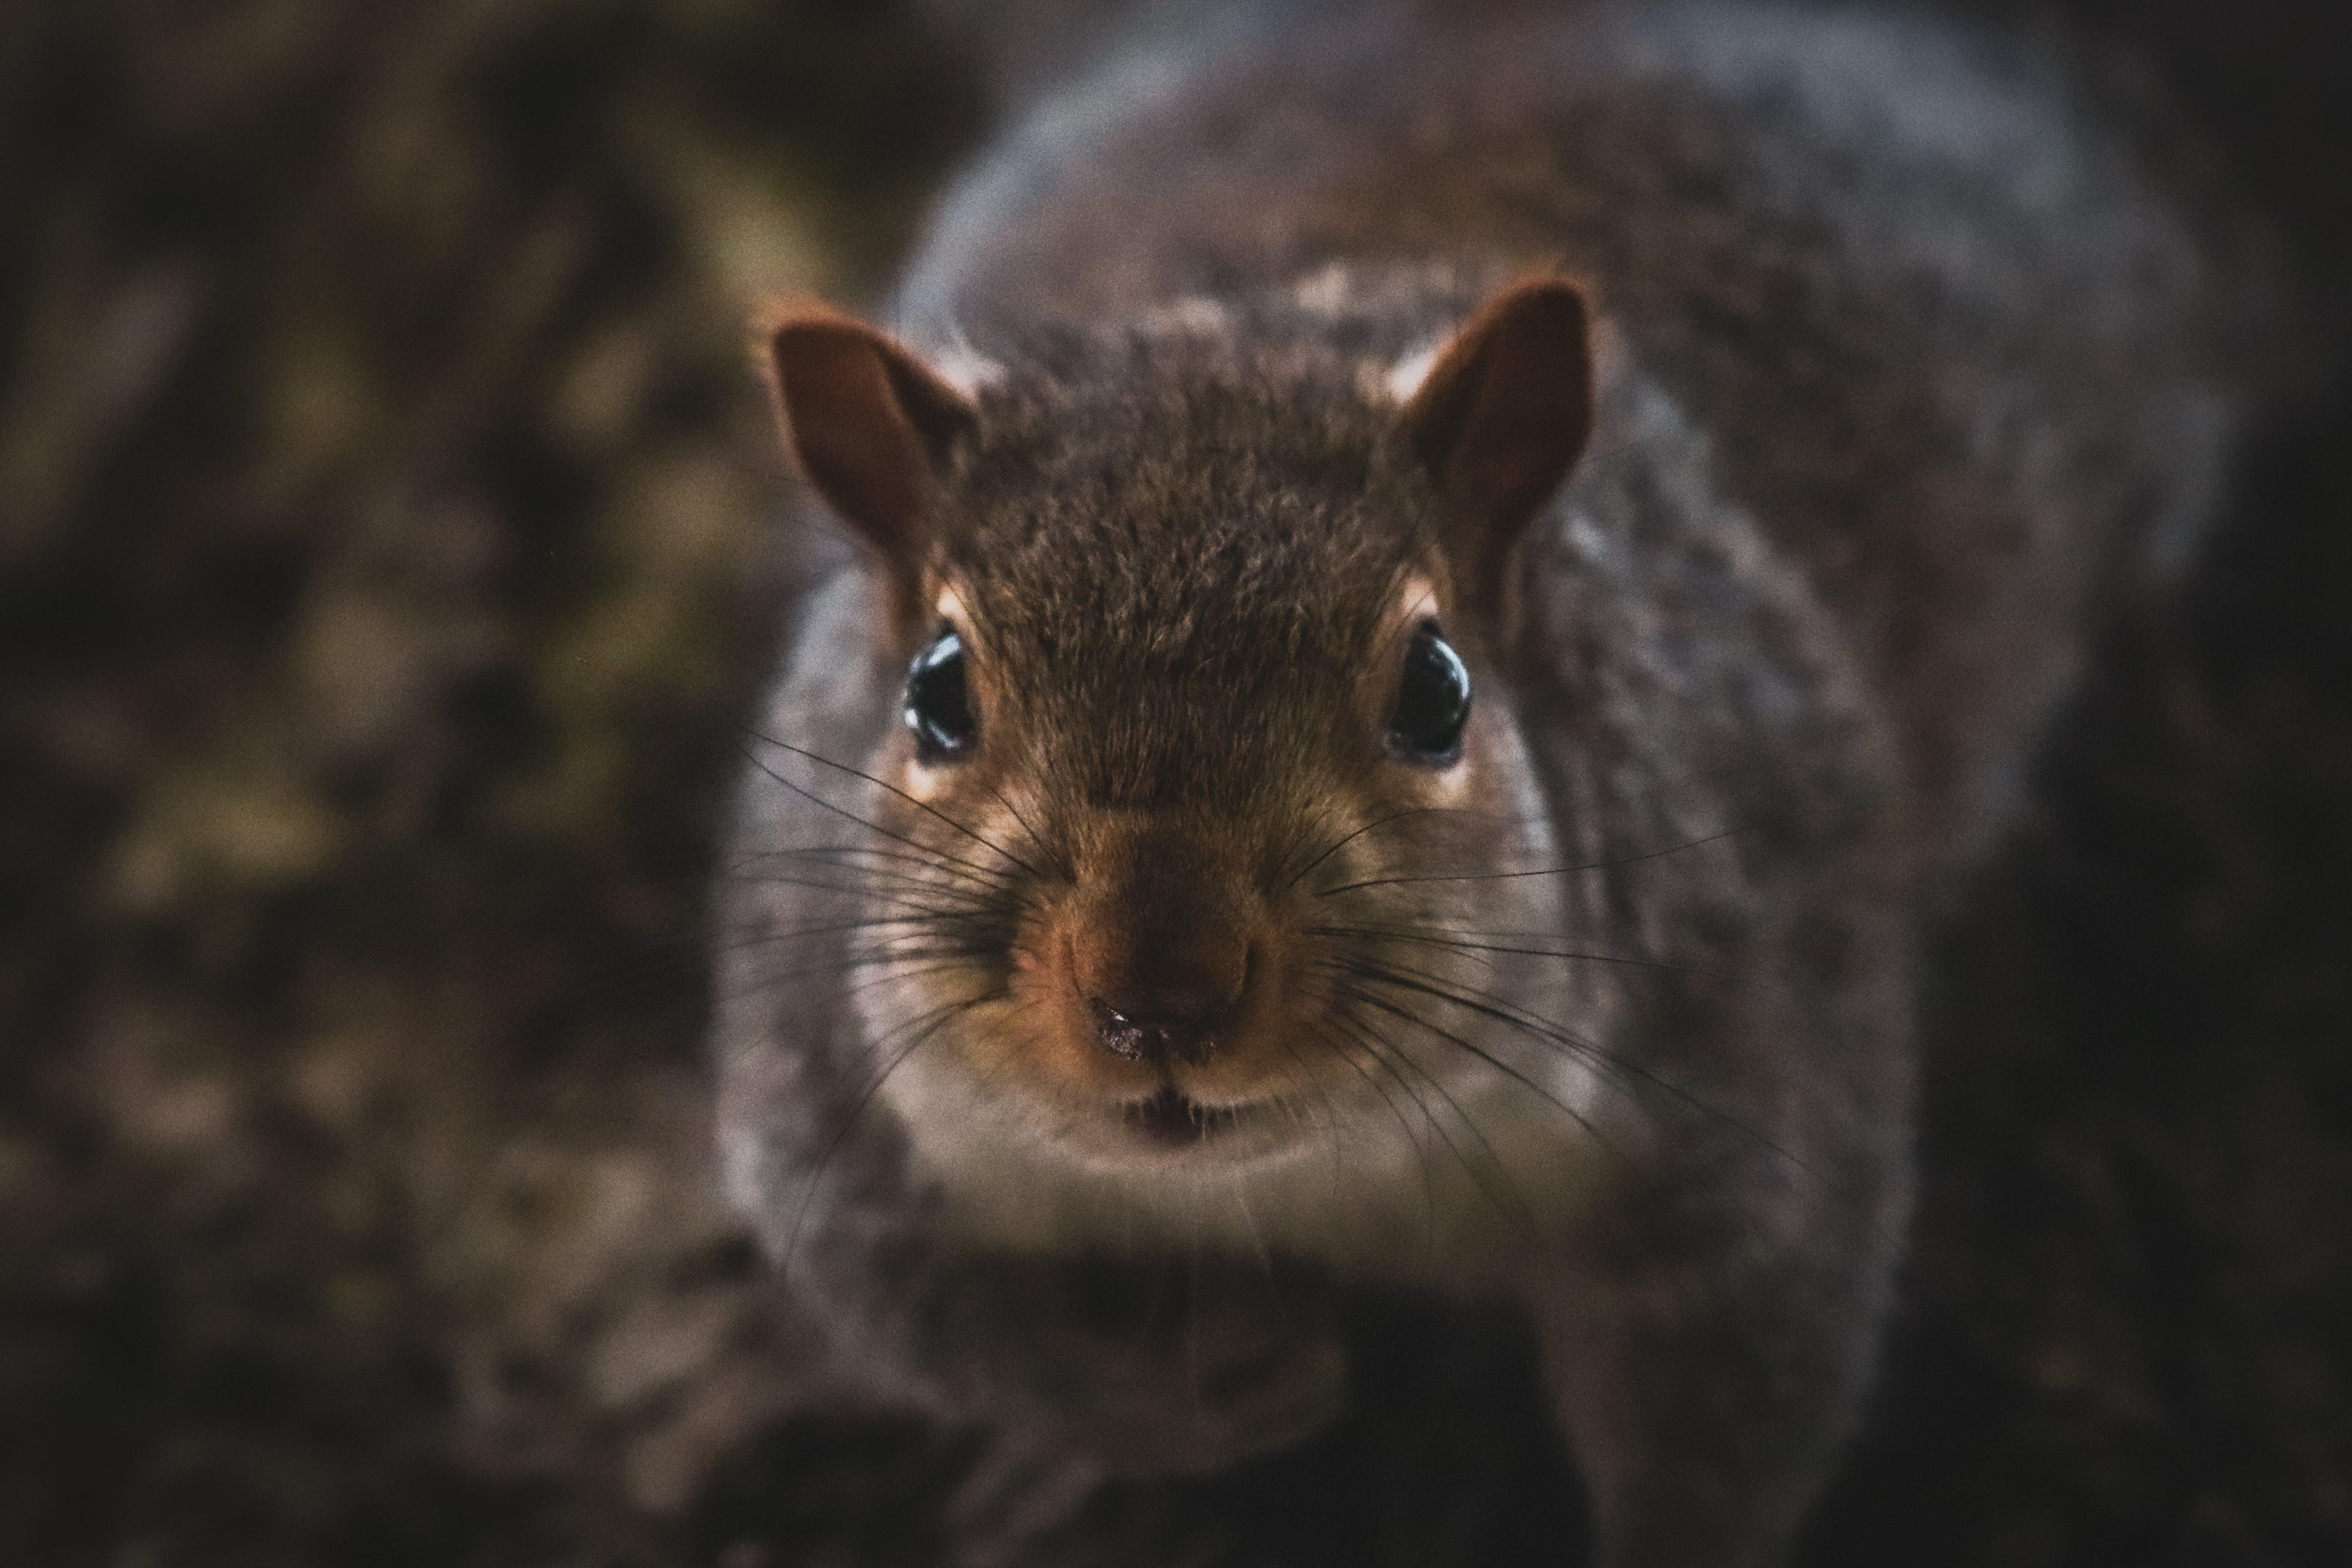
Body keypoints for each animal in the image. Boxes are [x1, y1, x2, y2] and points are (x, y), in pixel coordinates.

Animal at [712, 3, 2288, 1563]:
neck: (1311, 1175)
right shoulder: (823, 1072)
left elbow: (1741, 1384)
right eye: (934, 694)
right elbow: (924, 1306)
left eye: (1435, 691)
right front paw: (1186, 1394)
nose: (1156, 994)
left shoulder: (1754, 1042)